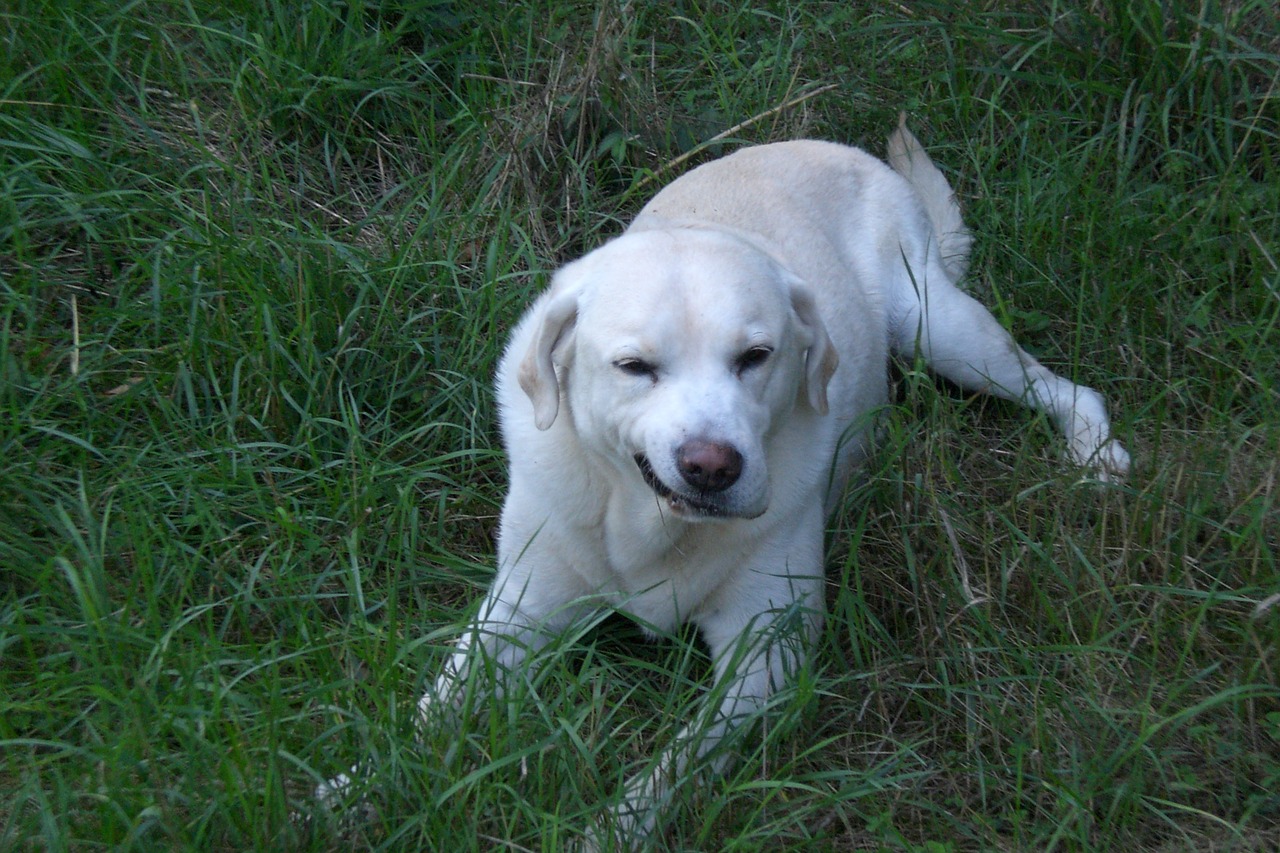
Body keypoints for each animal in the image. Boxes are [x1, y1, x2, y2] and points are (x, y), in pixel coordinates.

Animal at [322, 119, 1131, 845]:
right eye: (634, 366)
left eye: (755, 356)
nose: (712, 465)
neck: (652, 528)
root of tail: (832, 146)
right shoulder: (516, 612)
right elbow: (433, 710)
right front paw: (350, 791)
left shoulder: (766, 654)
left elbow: (672, 767)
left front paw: (608, 831)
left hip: (937, 327)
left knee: (1067, 388)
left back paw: (1096, 454)